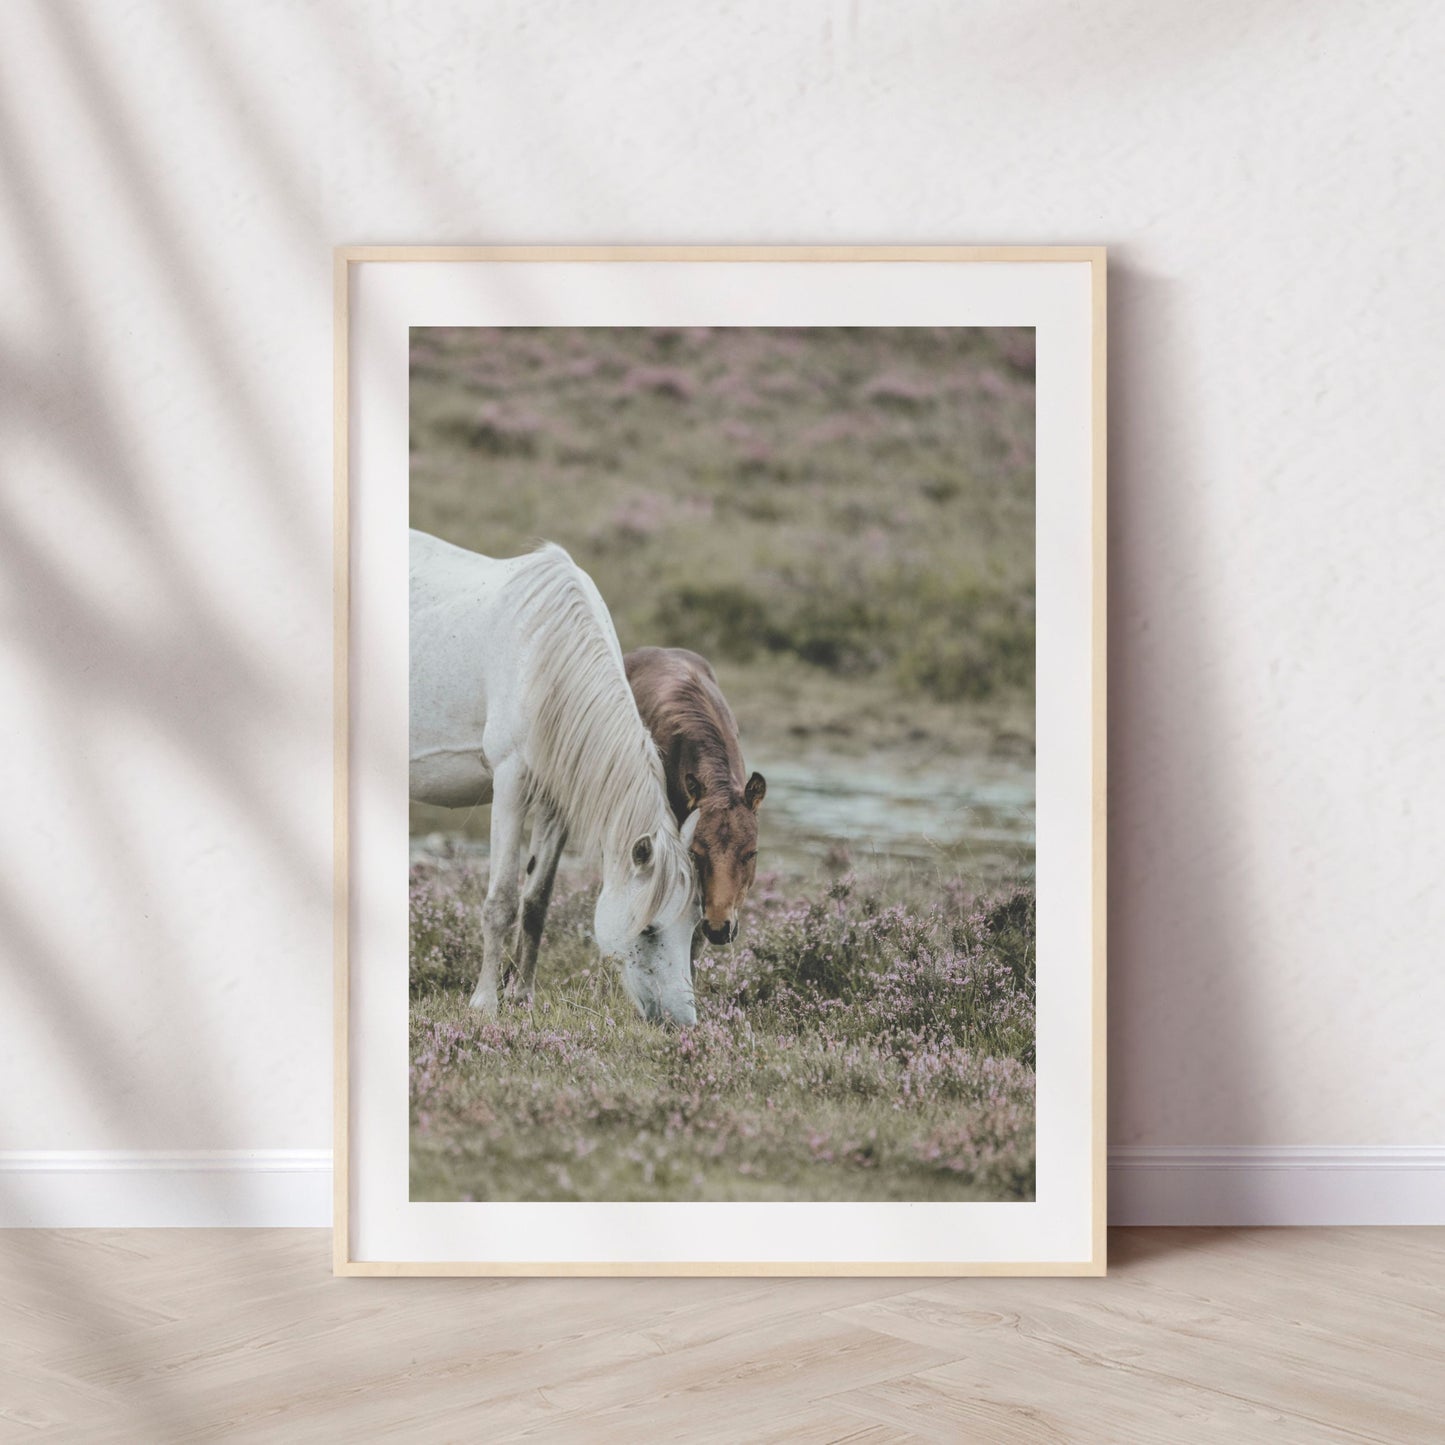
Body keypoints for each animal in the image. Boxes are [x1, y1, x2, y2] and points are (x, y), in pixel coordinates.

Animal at [409, 531, 701, 1026]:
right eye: (649, 929)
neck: (545, 651)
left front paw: (522, 997)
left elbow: (536, 902)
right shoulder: (510, 783)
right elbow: (502, 901)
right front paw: (484, 1003)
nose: (682, 1023)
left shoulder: (557, 801)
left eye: (694, 925)